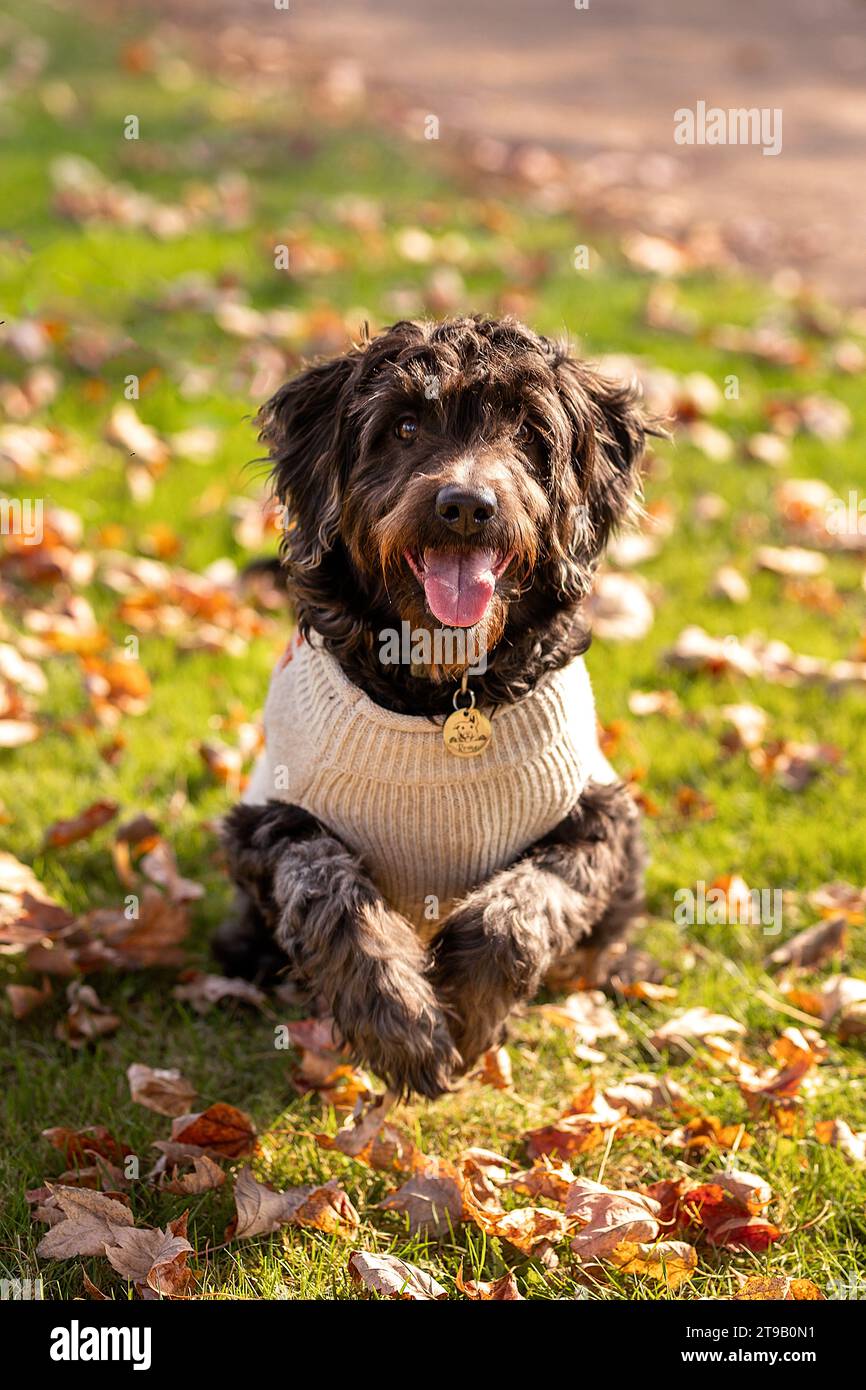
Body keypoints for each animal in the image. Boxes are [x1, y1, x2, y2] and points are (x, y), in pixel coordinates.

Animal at [215, 315, 650, 1095]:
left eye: (528, 431)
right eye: (405, 426)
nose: (466, 506)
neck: (444, 693)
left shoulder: (598, 820)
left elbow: (522, 906)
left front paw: (469, 1012)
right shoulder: (270, 819)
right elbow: (333, 895)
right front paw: (403, 1027)